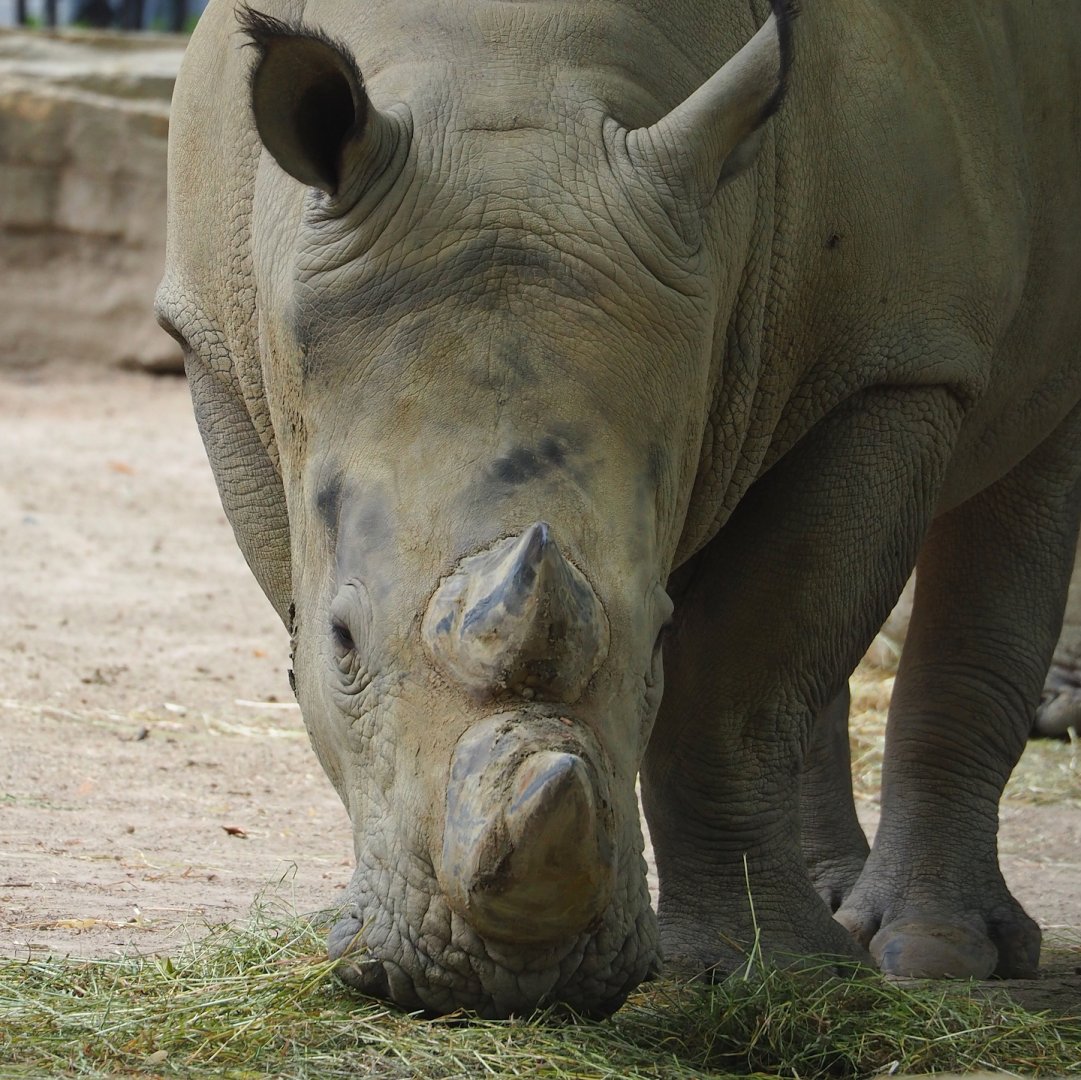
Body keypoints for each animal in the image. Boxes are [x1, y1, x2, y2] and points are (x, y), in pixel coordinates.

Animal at [157, 0, 1081, 1017]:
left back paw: (935, 956)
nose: (508, 979)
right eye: (344, 642)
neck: (504, 74)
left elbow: (742, 675)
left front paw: (765, 972)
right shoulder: (213, 340)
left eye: (654, 645)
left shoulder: (892, 359)